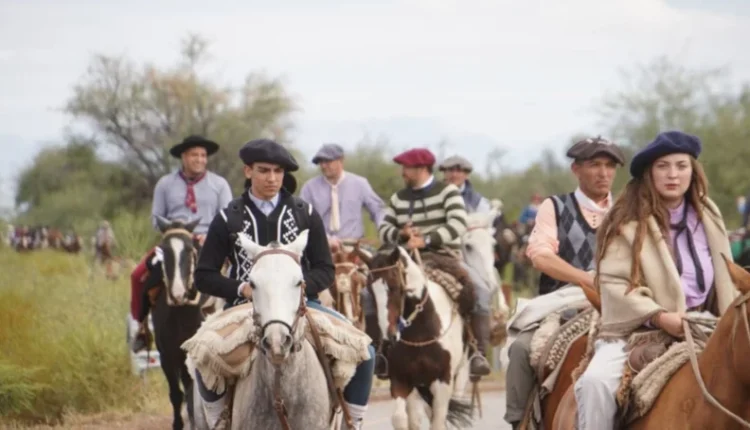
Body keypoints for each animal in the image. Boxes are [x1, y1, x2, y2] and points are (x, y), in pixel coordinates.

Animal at [361, 244, 474, 430]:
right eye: (370, 291)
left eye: (394, 286)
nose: (389, 336)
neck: (421, 334)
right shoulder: (400, 378)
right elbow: (400, 418)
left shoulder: (443, 382)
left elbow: (437, 422)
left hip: (459, 376)